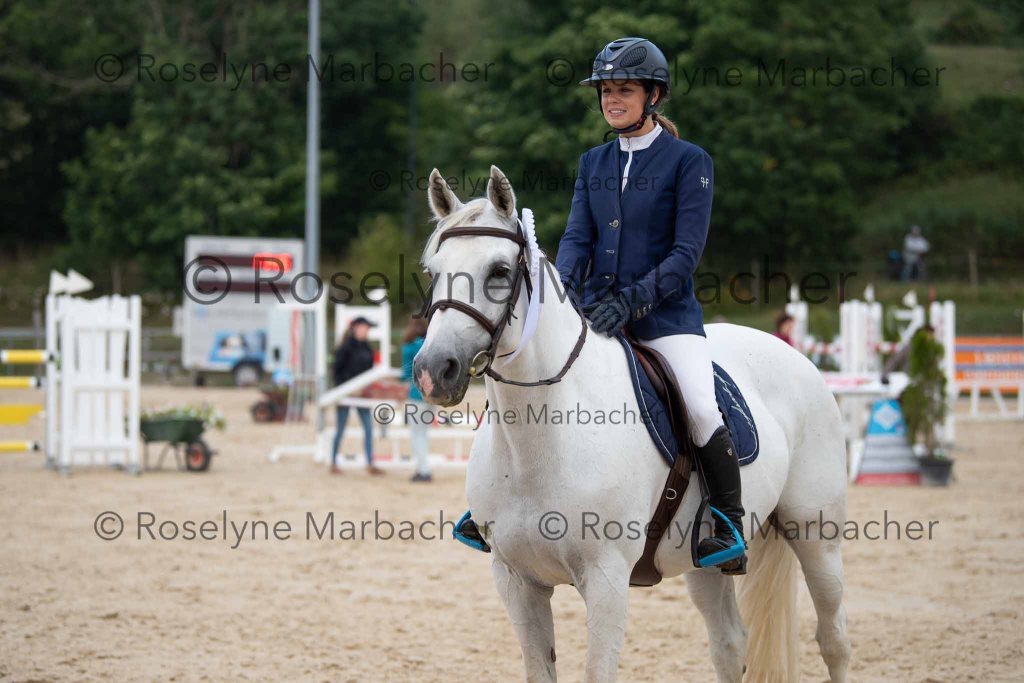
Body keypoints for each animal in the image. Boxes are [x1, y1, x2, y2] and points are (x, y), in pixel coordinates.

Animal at [412, 165, 851, 682]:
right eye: (433, 272)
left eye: (500, 271)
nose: (434, 370)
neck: (537, 439)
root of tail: (792, 353)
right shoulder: (517, 580)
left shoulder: (606, 580)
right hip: (704, 564)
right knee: (730, 643)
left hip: (816, 535)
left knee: (833, 639)